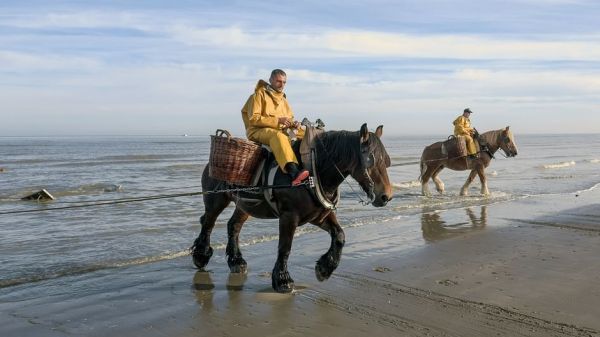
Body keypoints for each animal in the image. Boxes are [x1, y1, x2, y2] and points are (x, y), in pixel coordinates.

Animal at [190, 123, 392, 292]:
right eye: (371, 160)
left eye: (386, 161)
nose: (386, 196)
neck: (314, 171)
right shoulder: (289, 216)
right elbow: (285, 247)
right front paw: (282, 279)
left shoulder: (318, 216)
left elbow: (339, 236)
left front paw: (324, 268)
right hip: (216, 200)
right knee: (208, 223)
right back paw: (201, 256)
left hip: (245, 205)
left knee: (233, 226)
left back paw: (236, 261)